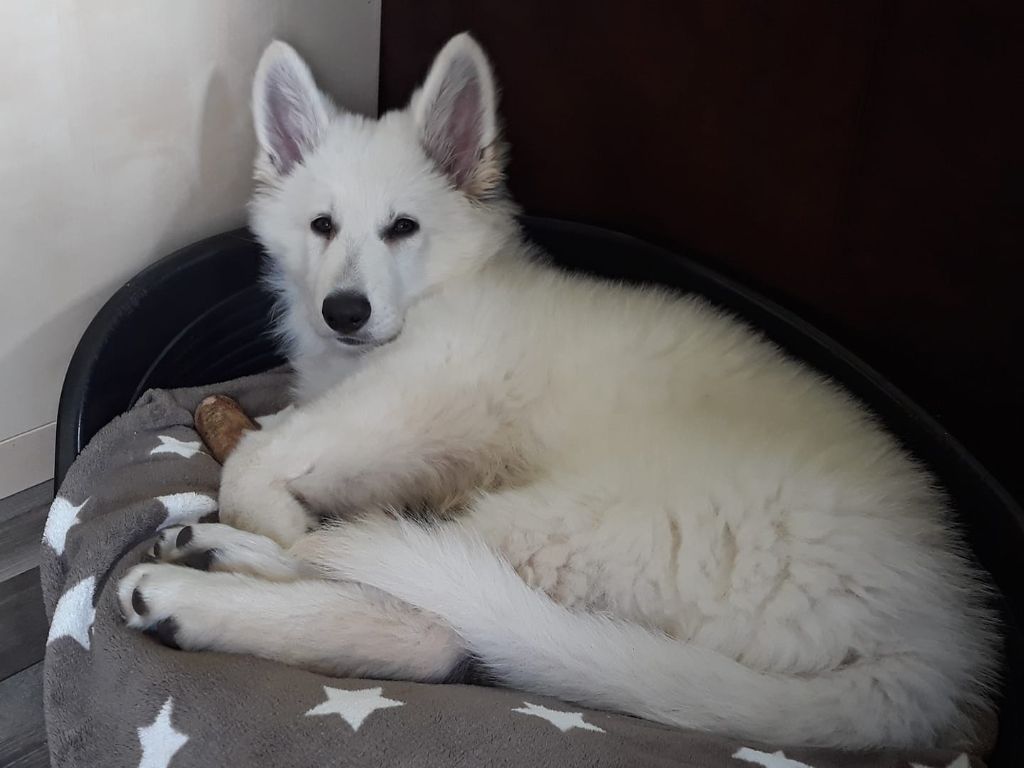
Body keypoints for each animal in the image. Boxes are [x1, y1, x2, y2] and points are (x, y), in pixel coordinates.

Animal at [119, 32, 999, 749]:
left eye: (403, 228)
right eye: (321, 226)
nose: (345, 313)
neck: (444, 292)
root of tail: (933, 647)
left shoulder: (399, 408)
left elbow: (257, 465)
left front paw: (263, 516)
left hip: (572, 527)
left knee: (415, 617)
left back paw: (190, 591)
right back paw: (211, 554)